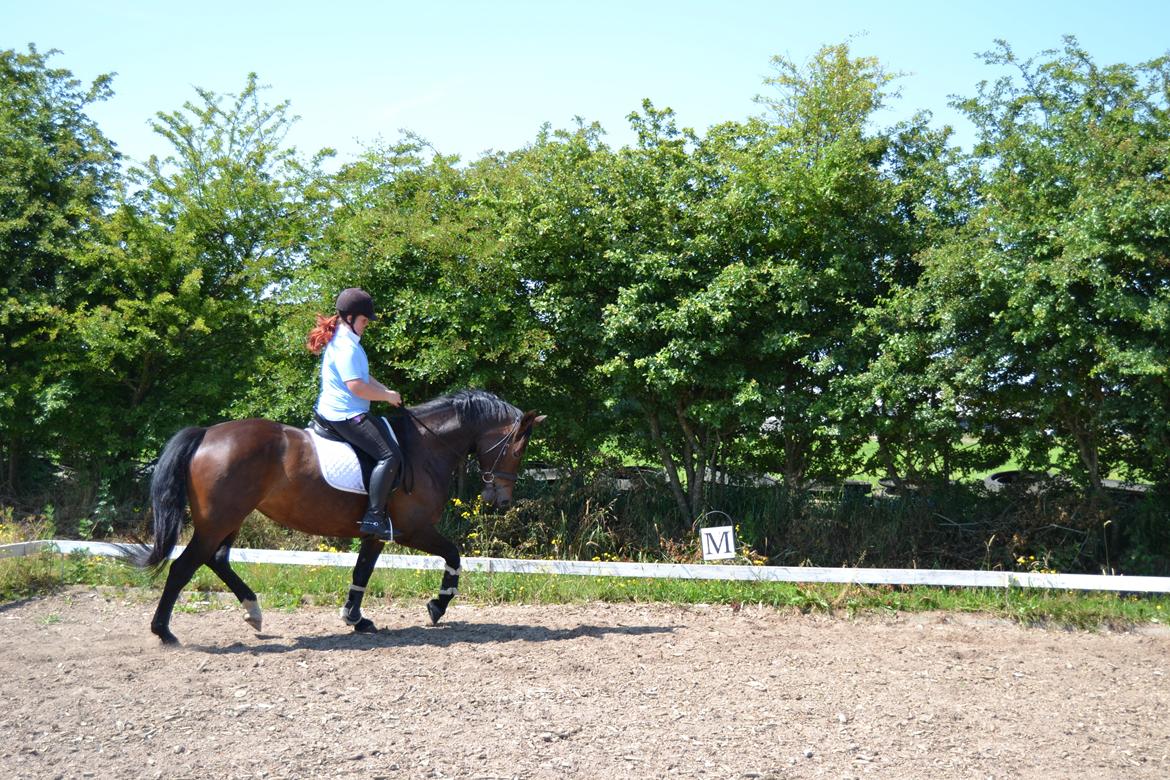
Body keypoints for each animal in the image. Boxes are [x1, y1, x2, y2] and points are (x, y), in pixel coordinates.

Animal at [125, 390, 545, 645]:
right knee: (184, 567)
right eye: (517, 450)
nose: (500, 500)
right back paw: (164, 632)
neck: (425, 447)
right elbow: (454, 555)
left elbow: (362, 572)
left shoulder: (376, 533)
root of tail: (207, 433)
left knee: (216, 560)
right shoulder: (413, 530)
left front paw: (356, 618)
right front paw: (436, 607)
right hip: (219, 520)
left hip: (230, 519)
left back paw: (254, 612)